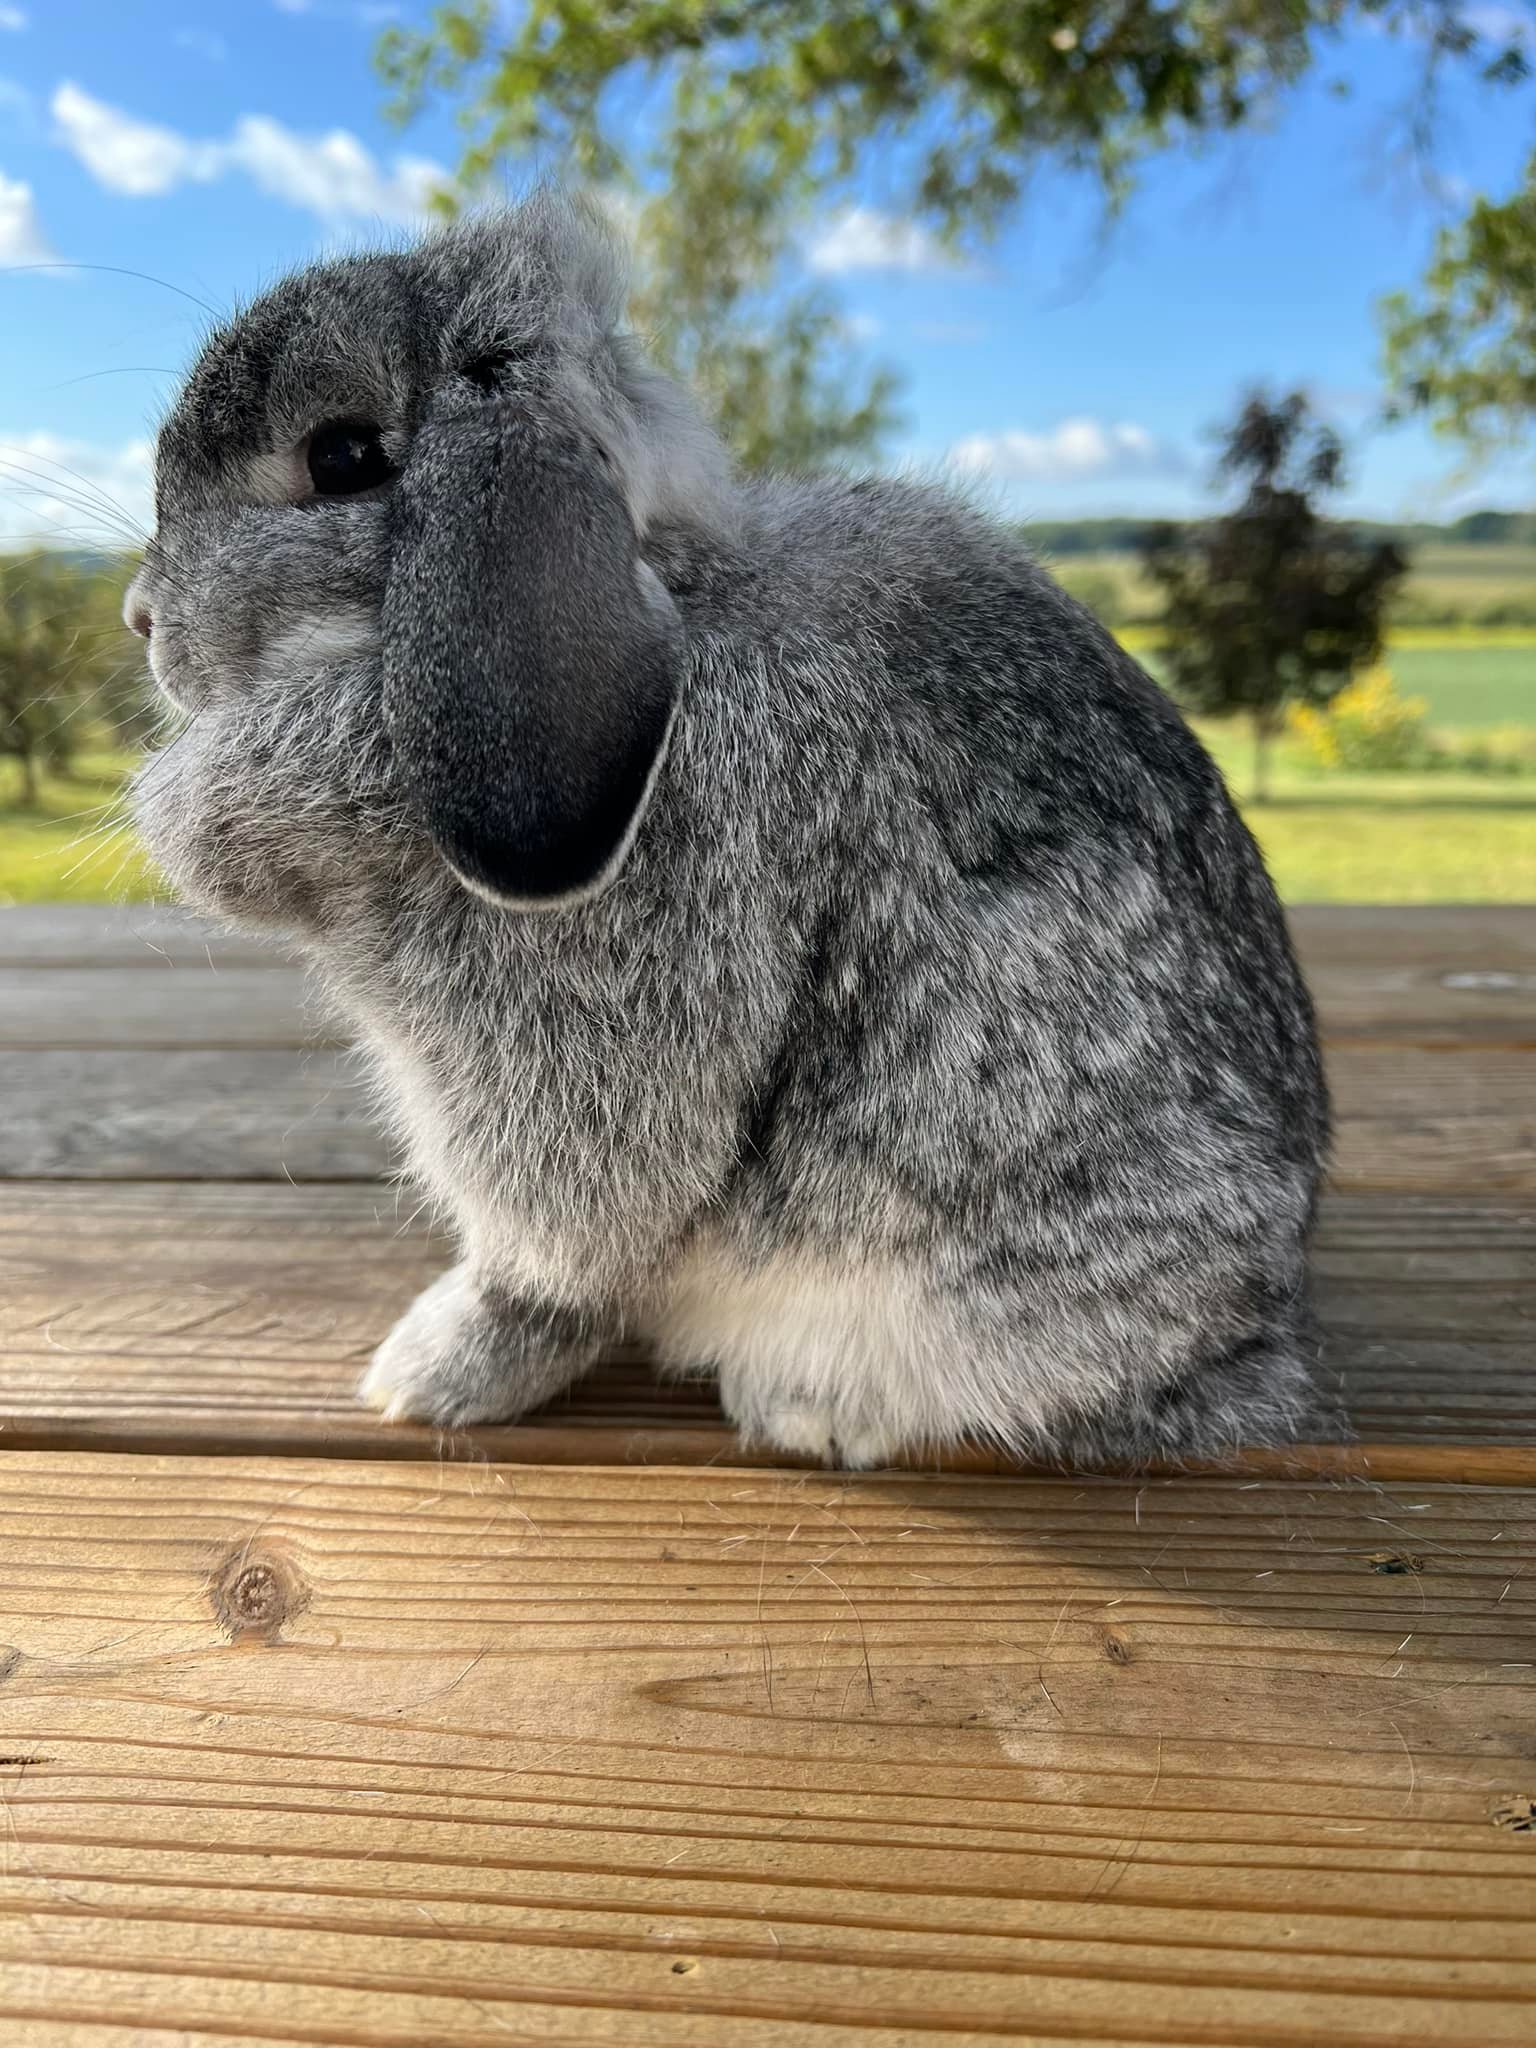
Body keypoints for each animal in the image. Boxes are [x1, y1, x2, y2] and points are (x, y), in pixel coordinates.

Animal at [129, 189, 1332, 1469]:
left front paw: (429, 1376)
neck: (680, 612)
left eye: (344, 456)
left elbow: (553, 1270)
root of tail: (1264, 1328)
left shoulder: (575, 1084)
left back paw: (810, 1407)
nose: (141, 617)